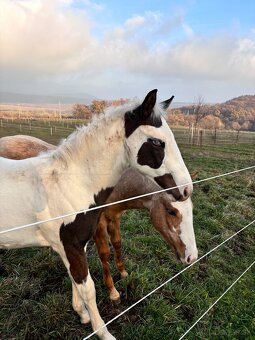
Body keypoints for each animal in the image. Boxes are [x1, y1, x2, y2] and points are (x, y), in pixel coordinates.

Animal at [0, 89, 192, 338]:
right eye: (157, 142)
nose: (187, 189)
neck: (71, 183)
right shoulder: (72, 244)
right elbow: (88, 288)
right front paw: (103, 331)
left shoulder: (73, 245)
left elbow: (76, 279)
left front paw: (81, 314)